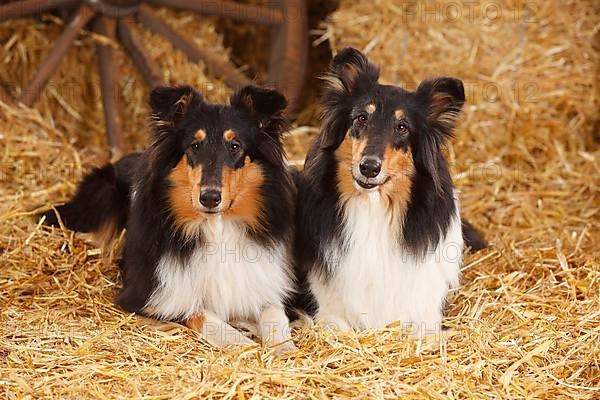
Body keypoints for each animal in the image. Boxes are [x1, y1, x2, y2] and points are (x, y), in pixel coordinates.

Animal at [42, 85, 298, 354]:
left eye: (235, 146)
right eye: (194, 146)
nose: (209, 198)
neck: (216, 230)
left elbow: (274, 311)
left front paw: (284, 349)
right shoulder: (149, 297)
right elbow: (200, 313)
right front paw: (243, 345)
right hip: (105, 192)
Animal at [292, 46, 486, 334]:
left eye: (402, 127)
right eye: (361, 118)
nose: (369, 168)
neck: (374, 209)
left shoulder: (427, 311)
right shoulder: (327, 311)